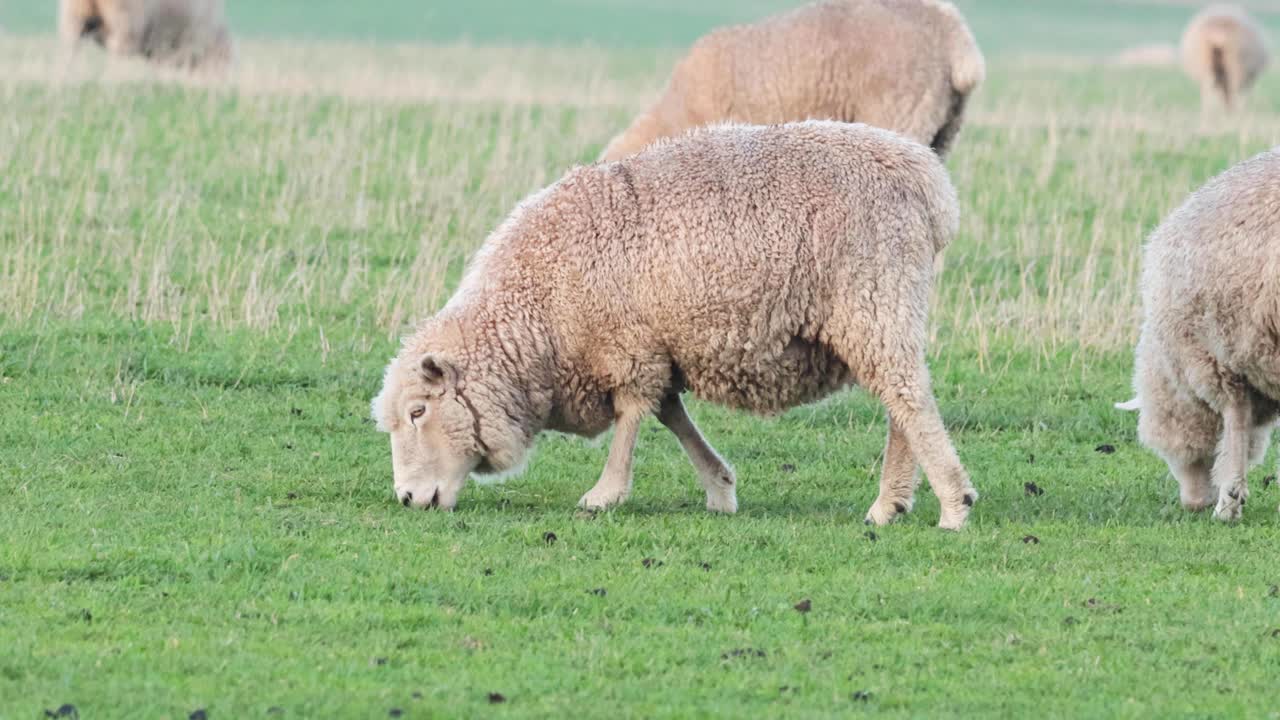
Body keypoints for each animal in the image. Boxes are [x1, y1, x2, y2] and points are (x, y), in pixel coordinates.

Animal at [371, 119, 977, 527]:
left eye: (418, 411)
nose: (406, 498)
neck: (534, 316)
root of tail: (925, 179)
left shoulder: (628, 348)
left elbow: (631, 417)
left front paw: (605, 494)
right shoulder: (657, 348)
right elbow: (672, 415)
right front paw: (720, 488)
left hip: (872, 293)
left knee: (908, 398)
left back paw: (951, 504)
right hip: (880, 306)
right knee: (900, 400)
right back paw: (893, 503)